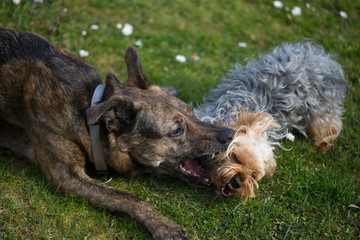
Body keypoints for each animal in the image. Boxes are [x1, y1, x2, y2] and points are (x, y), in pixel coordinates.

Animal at [0, 28, 235, 240]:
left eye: (191, 111)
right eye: (176, 130)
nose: (230, 133)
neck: (88, 111)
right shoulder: (66, 175)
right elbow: (128, 197)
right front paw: (163, 225)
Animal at [194, 41, 348, 198]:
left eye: (253, 174)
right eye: (235, 157)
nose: (237, 182)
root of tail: (325, 58)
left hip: (320, 111)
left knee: (332, 126)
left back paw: (323, 143)